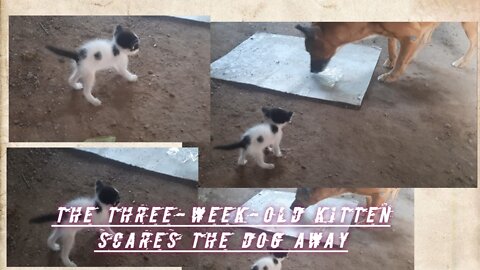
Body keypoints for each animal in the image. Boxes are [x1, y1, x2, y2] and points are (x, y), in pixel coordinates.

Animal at [296, 22, 476, 82]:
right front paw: (391, 60)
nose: (312, 71)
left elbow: (401, 60)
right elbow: (391, 44)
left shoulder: (410, 36)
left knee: (475, 42)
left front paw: (392, 76)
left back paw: (463, 61)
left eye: (309, 50)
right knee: (427, 36)